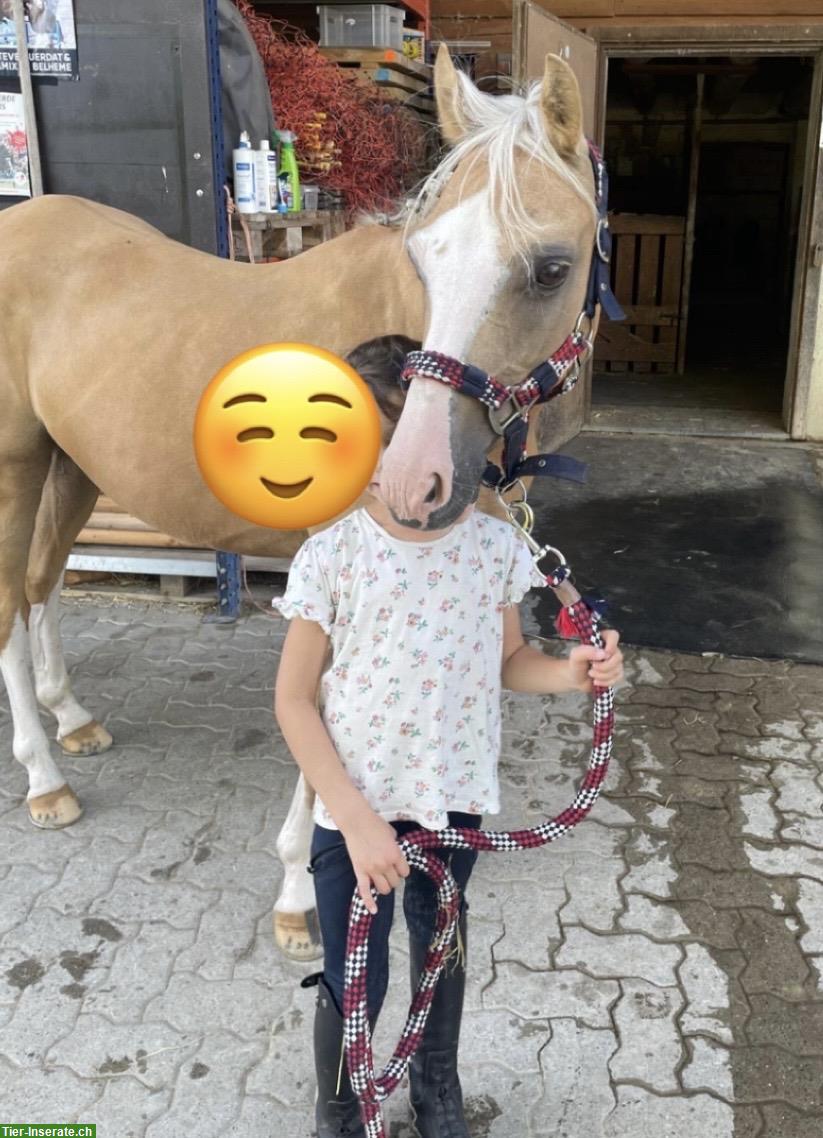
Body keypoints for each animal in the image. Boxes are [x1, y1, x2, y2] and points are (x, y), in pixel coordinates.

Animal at [0, 47, 600, 960]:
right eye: (424, 259)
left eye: (552, 267)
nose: (417, 479)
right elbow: (328, 732)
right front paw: (302, 898)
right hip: (14, 465)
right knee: (8, 603)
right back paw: (43, 778)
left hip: (70, 466)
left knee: (41, 589)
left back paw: (69, 718)